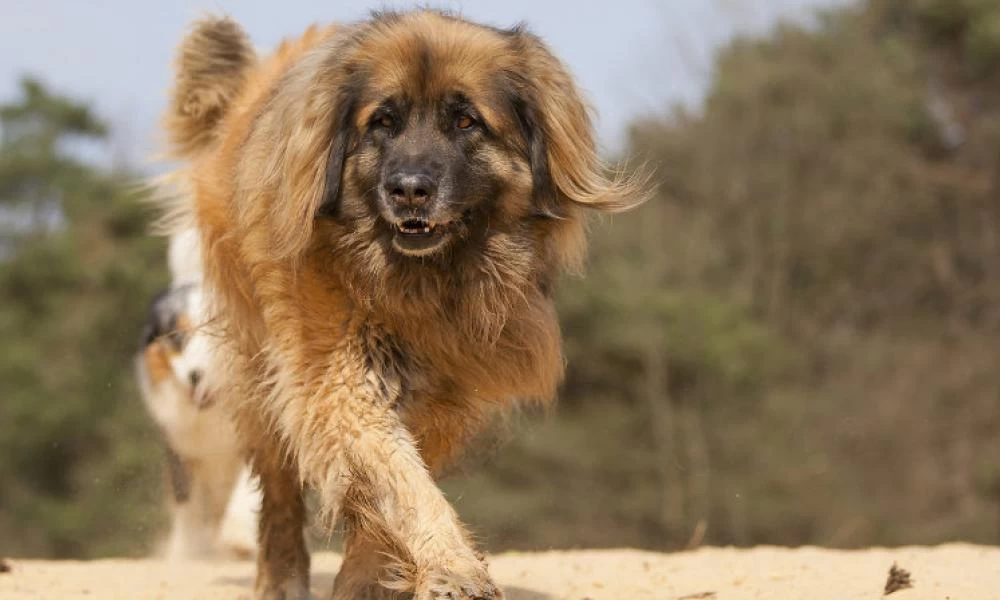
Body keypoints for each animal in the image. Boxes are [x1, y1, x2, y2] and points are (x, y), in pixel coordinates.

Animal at [157, 10, 640, 600]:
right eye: (383, 122)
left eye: (465, 122)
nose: (409, 189)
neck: (422, 284)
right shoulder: (341, 380)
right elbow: (402, 481)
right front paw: (452, 569)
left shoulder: (449, 396)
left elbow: (395, 485)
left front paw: (371, 574)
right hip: (256, 359)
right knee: (277, 480)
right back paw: (281, 574)